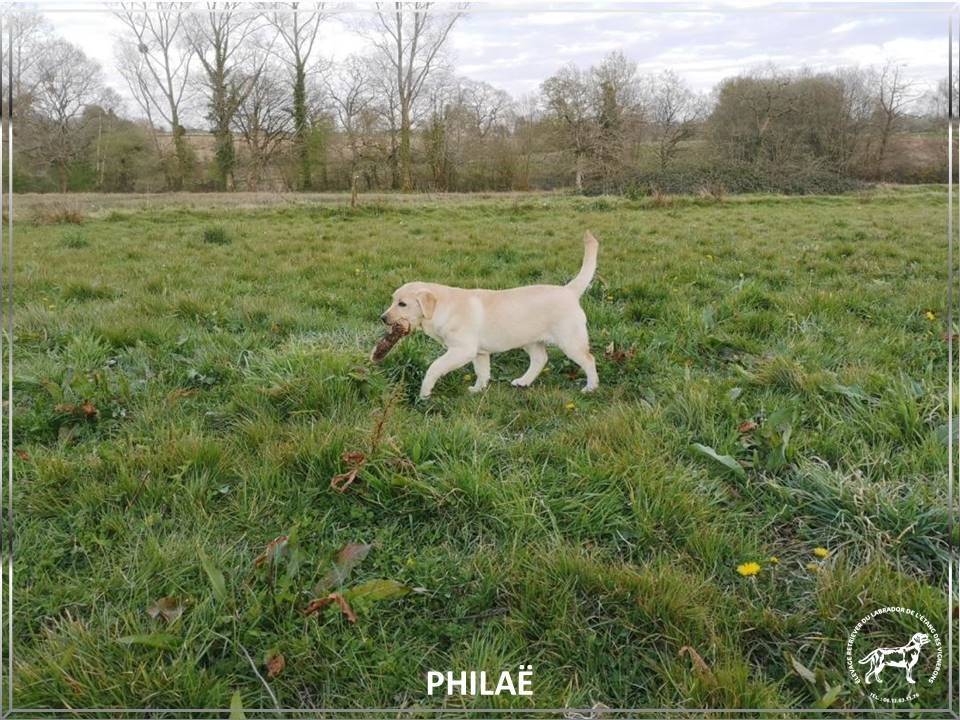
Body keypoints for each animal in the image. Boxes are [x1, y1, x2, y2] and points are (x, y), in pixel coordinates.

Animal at [376, 232, 596, 400]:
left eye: (402, 304)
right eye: (393, 300)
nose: (383, 318)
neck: (443, 308)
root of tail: (568, 290)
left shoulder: (462, 350)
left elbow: (435, 367)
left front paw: (425, 393)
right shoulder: (479, 353)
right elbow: (482, 372)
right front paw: (478, 390)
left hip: (570, 340)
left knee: (589, 360)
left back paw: (591, 388)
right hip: (529, 340)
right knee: (540, 359)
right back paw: (523, 381)